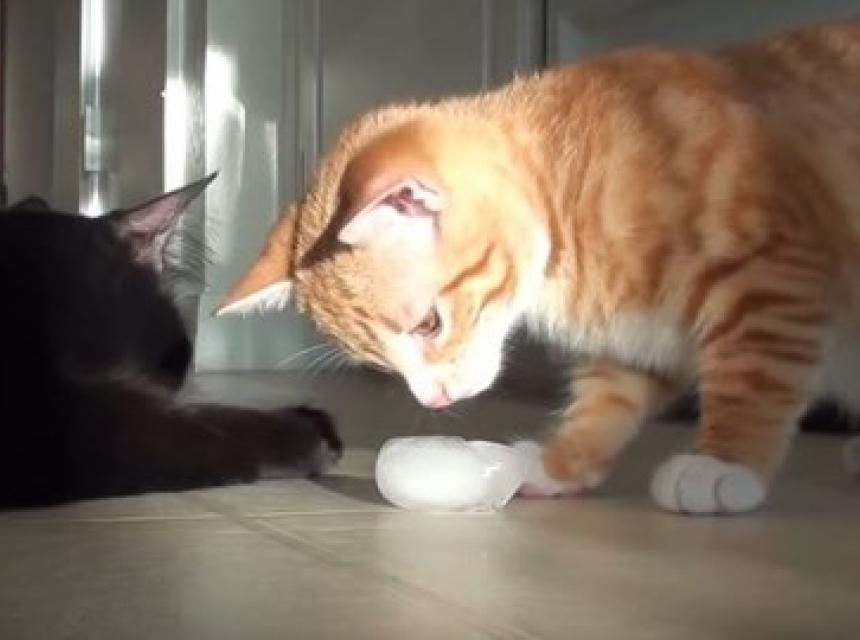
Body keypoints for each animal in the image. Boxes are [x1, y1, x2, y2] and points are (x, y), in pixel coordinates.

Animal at [217, 22, 860, 515]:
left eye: (428, 324)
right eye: (378, 361)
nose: (435, 403)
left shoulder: (771, 275)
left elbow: (755, 374)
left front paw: (725, 460)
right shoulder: (638, 334)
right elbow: (609, 398)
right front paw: (560, 461)